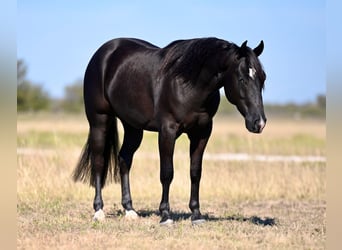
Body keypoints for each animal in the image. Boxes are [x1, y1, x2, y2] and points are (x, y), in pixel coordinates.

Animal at [73, 36, 268, 225]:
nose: (259, 123)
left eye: (263, 78)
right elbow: (167, 173)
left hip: (133, 127)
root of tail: (104, 52)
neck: (188, 84)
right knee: (98, 162)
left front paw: (196, 214)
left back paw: (130, 210)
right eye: (242, 79)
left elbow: (195, 172)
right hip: (99, 121)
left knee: (124, 159)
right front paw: (165, 215)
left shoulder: (202, 132)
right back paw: (99, 211)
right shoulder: (167, 131)